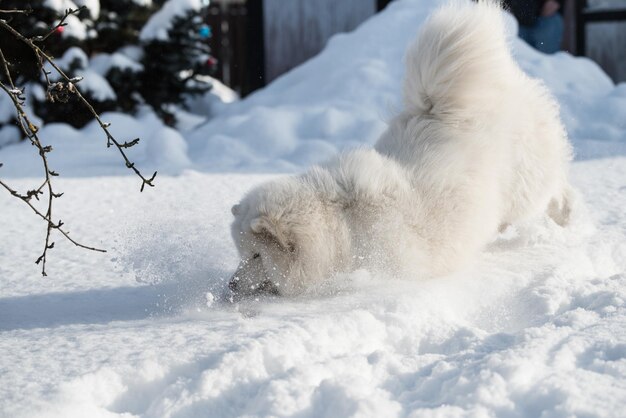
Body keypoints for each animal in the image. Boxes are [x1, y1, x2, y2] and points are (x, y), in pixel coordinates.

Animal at [228, 0, 572, 296]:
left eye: (257, 256)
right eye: (241, 254)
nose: (231, 284)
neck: (338, 224)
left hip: (525, 186)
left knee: (555, 189)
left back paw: (566, 217)